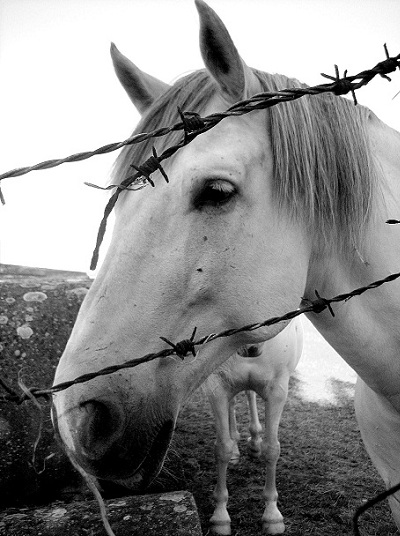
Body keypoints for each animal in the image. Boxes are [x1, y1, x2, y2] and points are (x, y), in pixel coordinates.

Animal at [203, 318, 300, 532]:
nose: (250, 346)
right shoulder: (217, 388)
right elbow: (221, 449)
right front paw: (220, 516)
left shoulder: (277, 391)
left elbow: (271, 449)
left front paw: (272, 516)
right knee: (233, 404)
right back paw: (236, 448)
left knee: (249, 394)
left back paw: (255, 444)